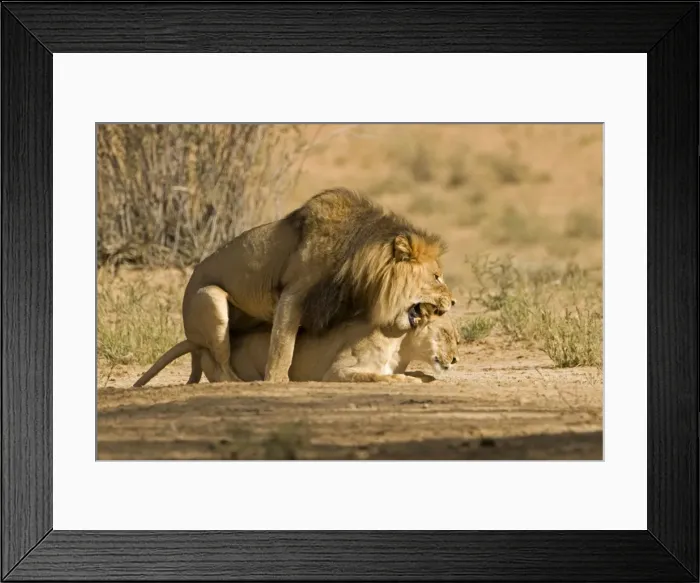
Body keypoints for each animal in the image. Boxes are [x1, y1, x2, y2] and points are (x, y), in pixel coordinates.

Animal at [133, 303, 458, 387]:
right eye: (448, 334)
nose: (455, 360)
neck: (403, 345)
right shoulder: (337, 371)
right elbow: (379, 376)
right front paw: (409, 380)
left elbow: (416, 373)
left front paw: (422, 376)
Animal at [178, 187, 455, 384]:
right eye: (436, 276)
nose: (453, 302)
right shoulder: (293, 293)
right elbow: (283, 346)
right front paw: (277, 381)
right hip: (210, 298)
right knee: (221, 365)